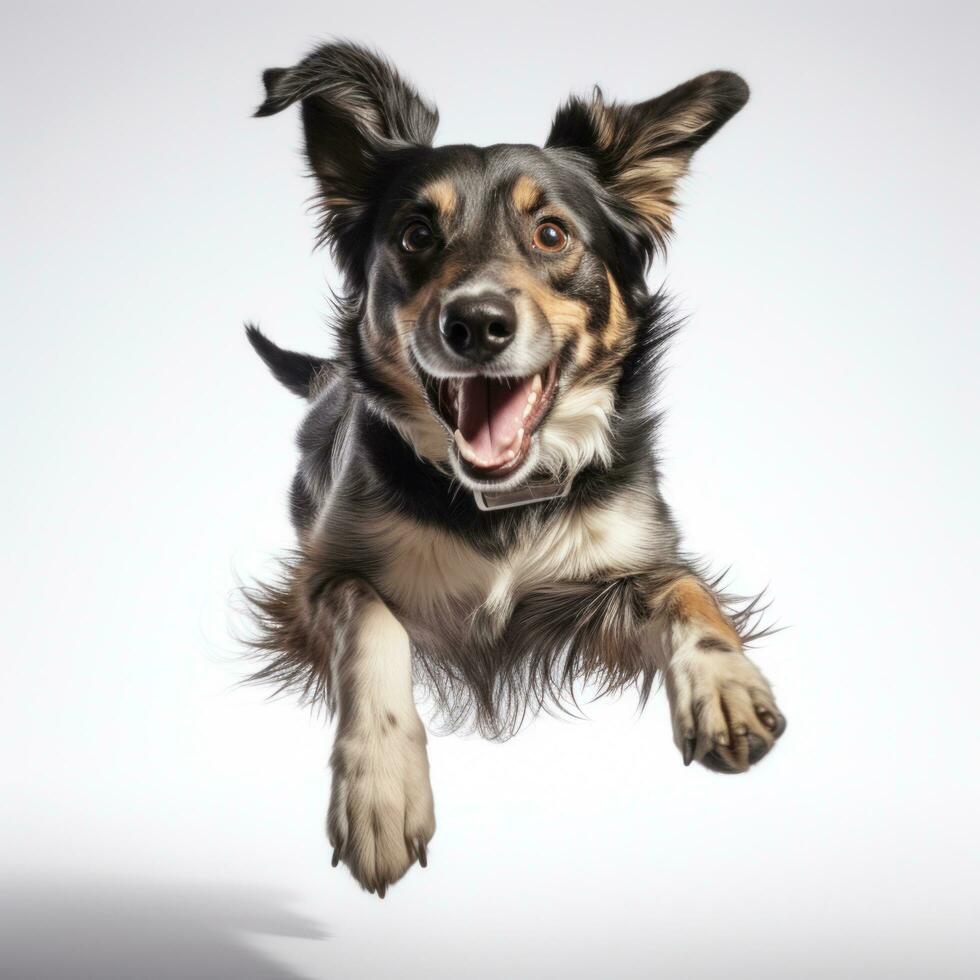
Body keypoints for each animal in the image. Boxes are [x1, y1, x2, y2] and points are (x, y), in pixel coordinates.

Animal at [245, 40, 788, 896]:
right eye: (414, 235)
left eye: (552, 234)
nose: (476, 323)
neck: (499, 501)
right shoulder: (318, 579)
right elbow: (374, 621)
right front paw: (381, 789)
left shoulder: (622, 569)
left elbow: (687, 590)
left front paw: (725, 686)